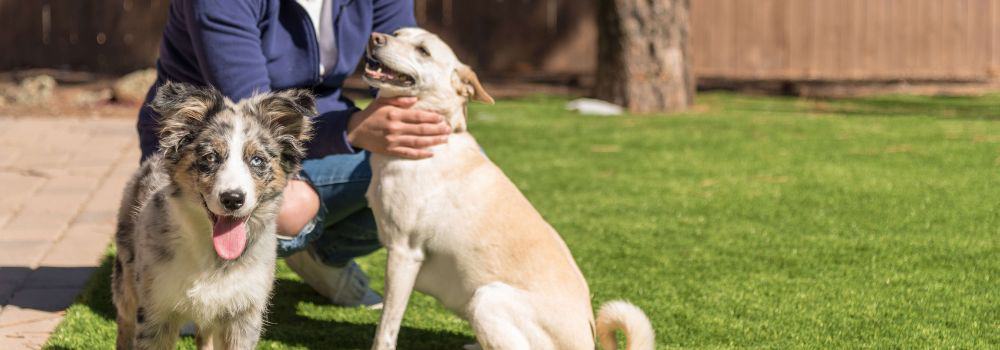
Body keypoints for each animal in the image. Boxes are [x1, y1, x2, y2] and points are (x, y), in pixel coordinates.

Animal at [362, 28, 656, 350]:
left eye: (423, 51)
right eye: (397, 33)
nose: (375, 38)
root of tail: (587, 344)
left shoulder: (404, 252)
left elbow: (386, 327)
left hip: (486, 299)